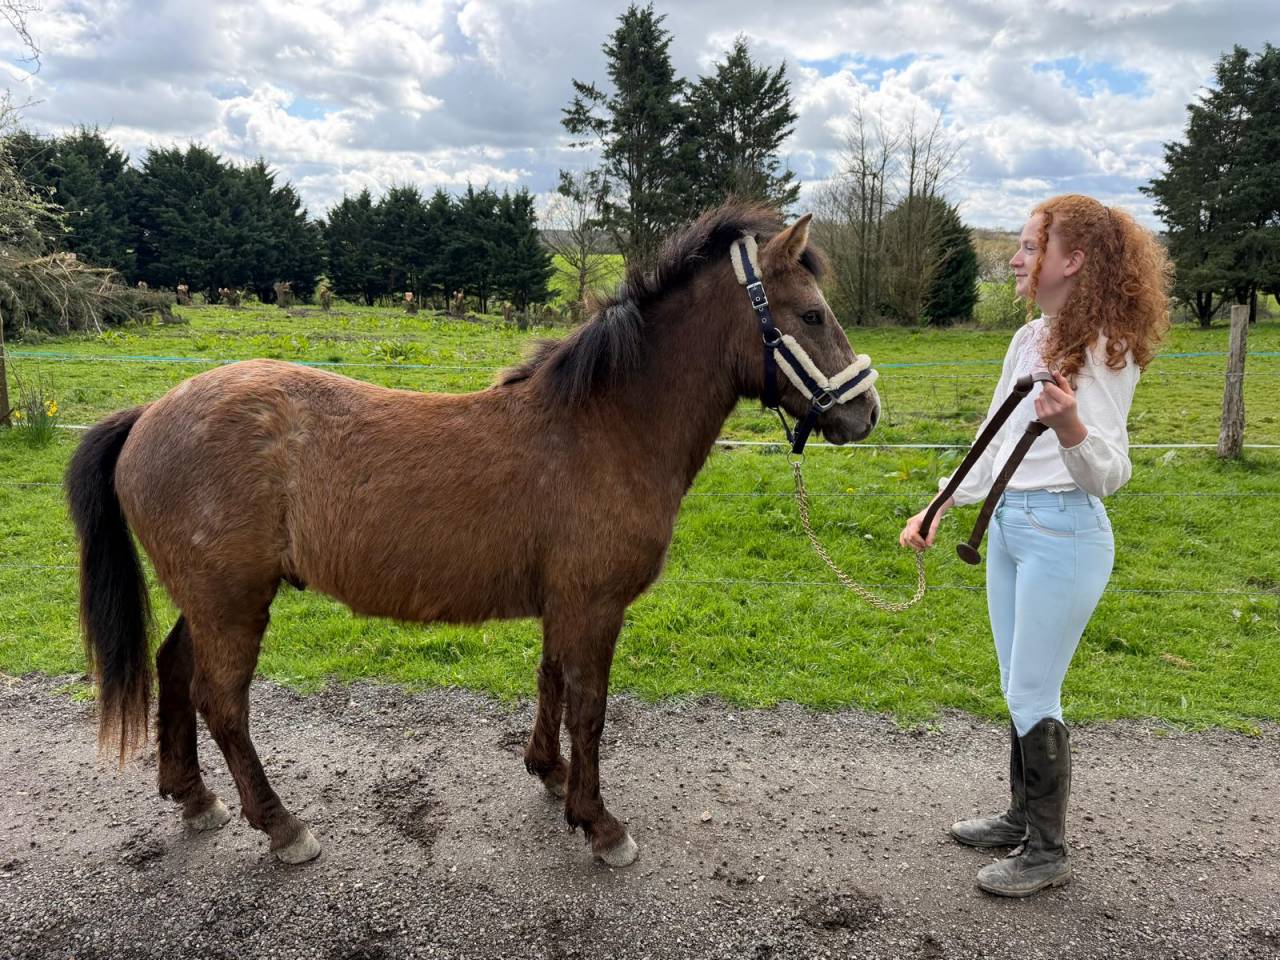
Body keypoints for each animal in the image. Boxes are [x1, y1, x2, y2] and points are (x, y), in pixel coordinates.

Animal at [65, 202, 881, 868]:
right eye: (812, 316)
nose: (866, 414)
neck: (604, 426)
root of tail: (147, 413)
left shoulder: (565, 603)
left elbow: (552, 682)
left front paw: (550, 775)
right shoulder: (595, 605)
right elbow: (590, 707)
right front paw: (600, 824)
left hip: (209, 599)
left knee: (175, 671)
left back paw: (194, 798)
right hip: (233, 602)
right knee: (223, 703)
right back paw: (281, 826)